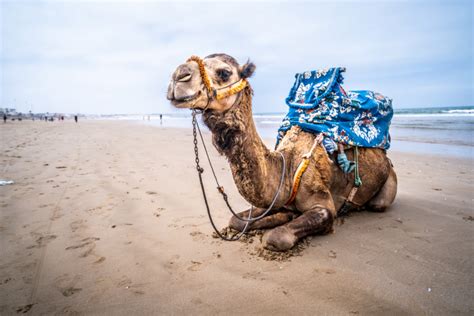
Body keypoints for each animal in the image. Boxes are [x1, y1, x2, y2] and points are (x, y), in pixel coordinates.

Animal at [167, 53, 396, 252]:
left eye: (224, 72)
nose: (179, 74)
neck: (287, 167)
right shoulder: (276, 200)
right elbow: (236, 220)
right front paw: (282, 216)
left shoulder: (324, 204)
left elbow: (276, 236)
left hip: (386, 185)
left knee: (378, 204)